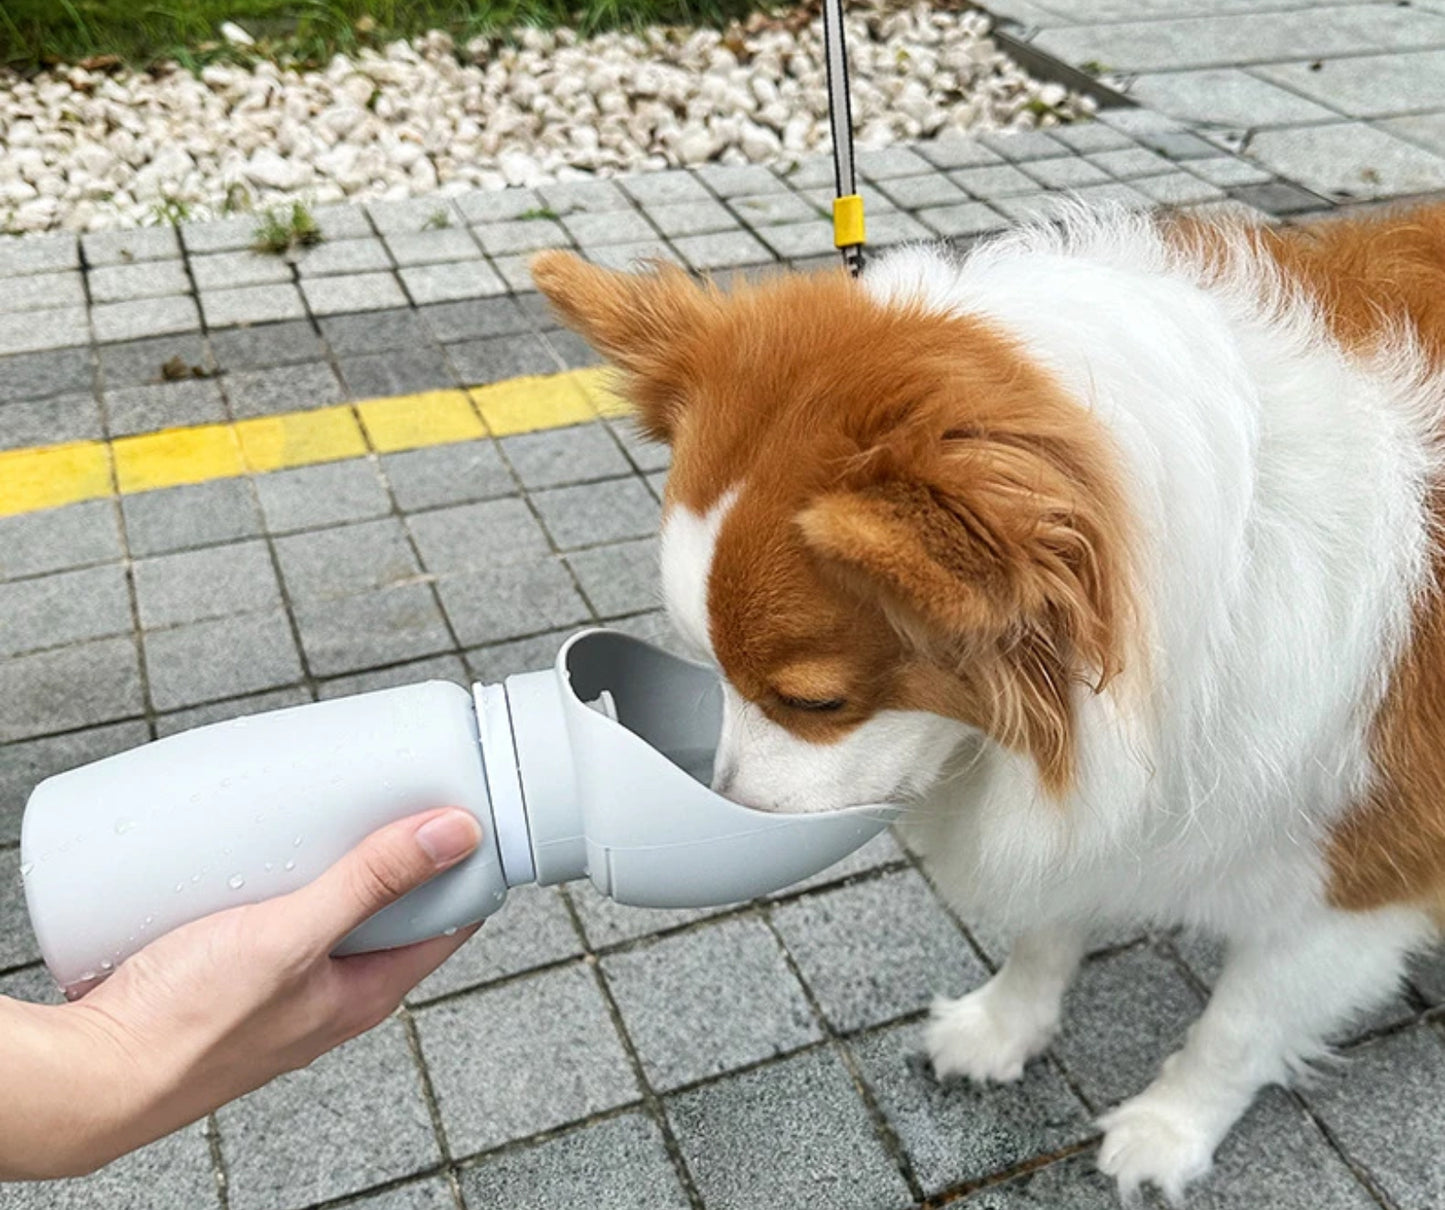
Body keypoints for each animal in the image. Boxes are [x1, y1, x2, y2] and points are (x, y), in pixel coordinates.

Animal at [537, 202, 1445, 1196]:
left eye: (812, 703)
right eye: (706, 667)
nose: (728, 824)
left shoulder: (1359, 884)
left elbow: (1236, 1028)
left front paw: (1169, 1128)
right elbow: (1046, 923)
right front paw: (1004, 1026)